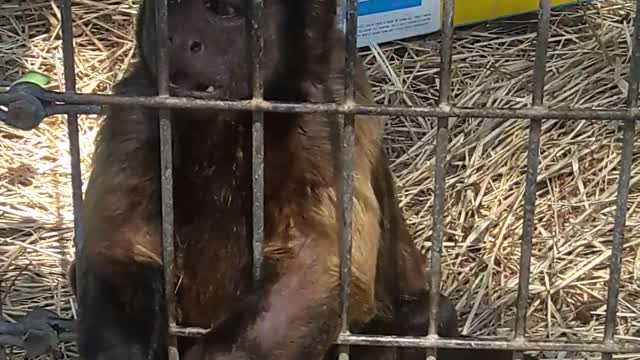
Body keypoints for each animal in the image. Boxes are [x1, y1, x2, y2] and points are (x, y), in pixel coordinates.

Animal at [65, 0, 536, 360]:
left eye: (224, 11)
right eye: (171, 11)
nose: (179, 40)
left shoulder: (323, 111)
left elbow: (322, 258)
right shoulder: (137, 107)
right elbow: (119, 249)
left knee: (428, 318)